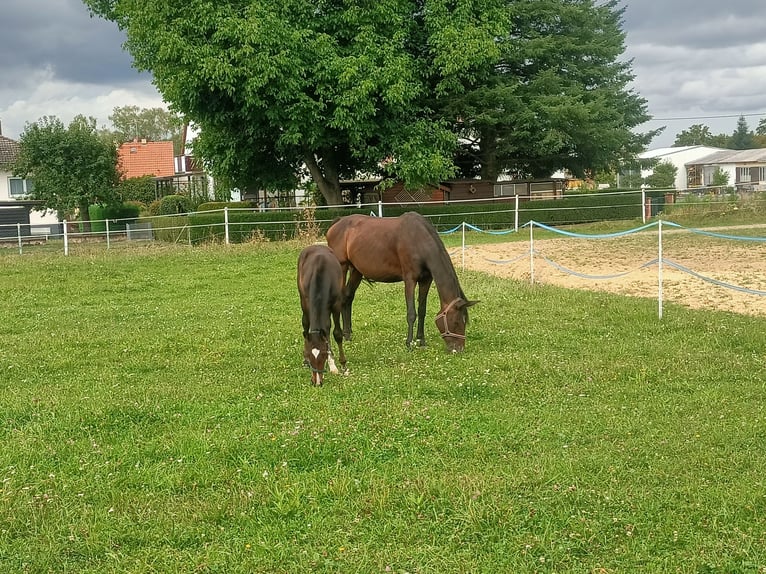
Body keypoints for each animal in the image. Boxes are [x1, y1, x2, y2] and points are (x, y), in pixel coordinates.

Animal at [298, 244, 350, 388]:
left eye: (322, 355)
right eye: (309, 355)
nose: (317, 382)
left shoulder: (336, 305)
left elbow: (336, 333)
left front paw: (341, 365)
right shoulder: (307, 302)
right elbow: (307, 325)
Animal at [326, 214, 480, 354]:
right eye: (457, 321)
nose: (459, 349)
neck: (419, 240)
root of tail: (337, 222)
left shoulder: (426, 280)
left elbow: (422, 310)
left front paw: (421, 341)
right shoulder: (410, 280)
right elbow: (411, 313)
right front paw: (409, 343)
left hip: (357, 271)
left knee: (348, 297)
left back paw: (347, 334)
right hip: (342, 267)